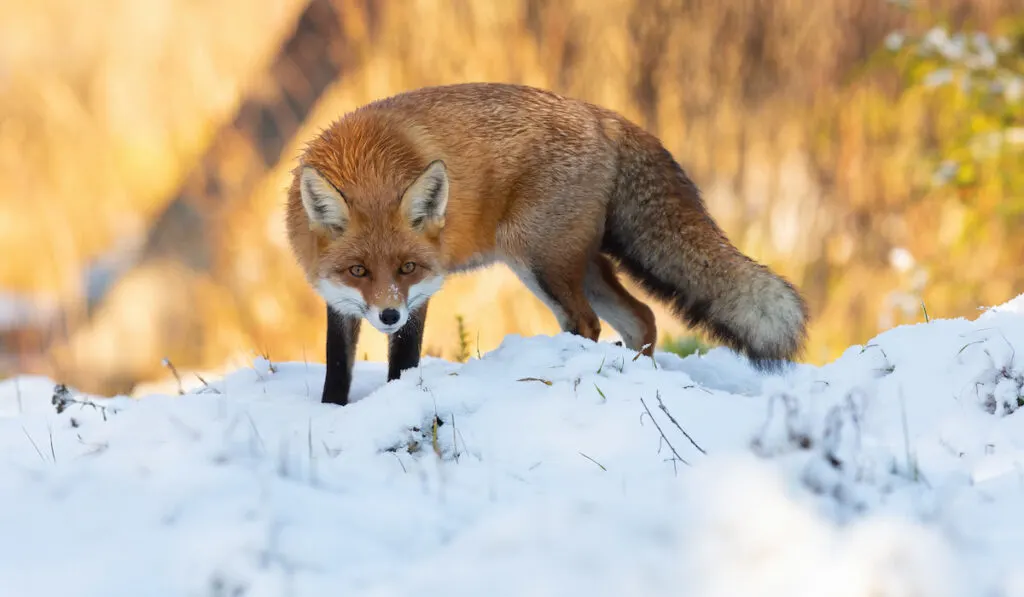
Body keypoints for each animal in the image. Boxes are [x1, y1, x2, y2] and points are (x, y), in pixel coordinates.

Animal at [286, 81, 806, 405]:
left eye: (407, 268)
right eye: (358, 271)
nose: (389, 315)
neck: (366, 161)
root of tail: (605, 116)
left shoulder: (422, 294)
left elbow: (404, 364)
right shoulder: (339, 300)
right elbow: (337, 367)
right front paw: (332, 413)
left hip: (541, 263)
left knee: (588, 322)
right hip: (581, 265)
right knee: (642, 318)